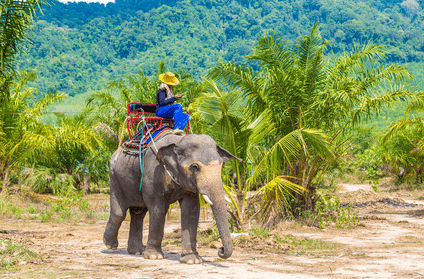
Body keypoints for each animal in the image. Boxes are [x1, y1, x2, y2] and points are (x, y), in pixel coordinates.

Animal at [103, 133, 242, 264]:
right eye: (195, 167)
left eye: (221, 165)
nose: (220, 250)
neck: (178, 141)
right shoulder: (153, 173)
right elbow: (158, 208)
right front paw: (154, 257)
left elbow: (191, 210)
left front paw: (192, 260)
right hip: (114, 175)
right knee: (119, 213)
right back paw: (110, 245)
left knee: (138, 212)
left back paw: (137, 251)